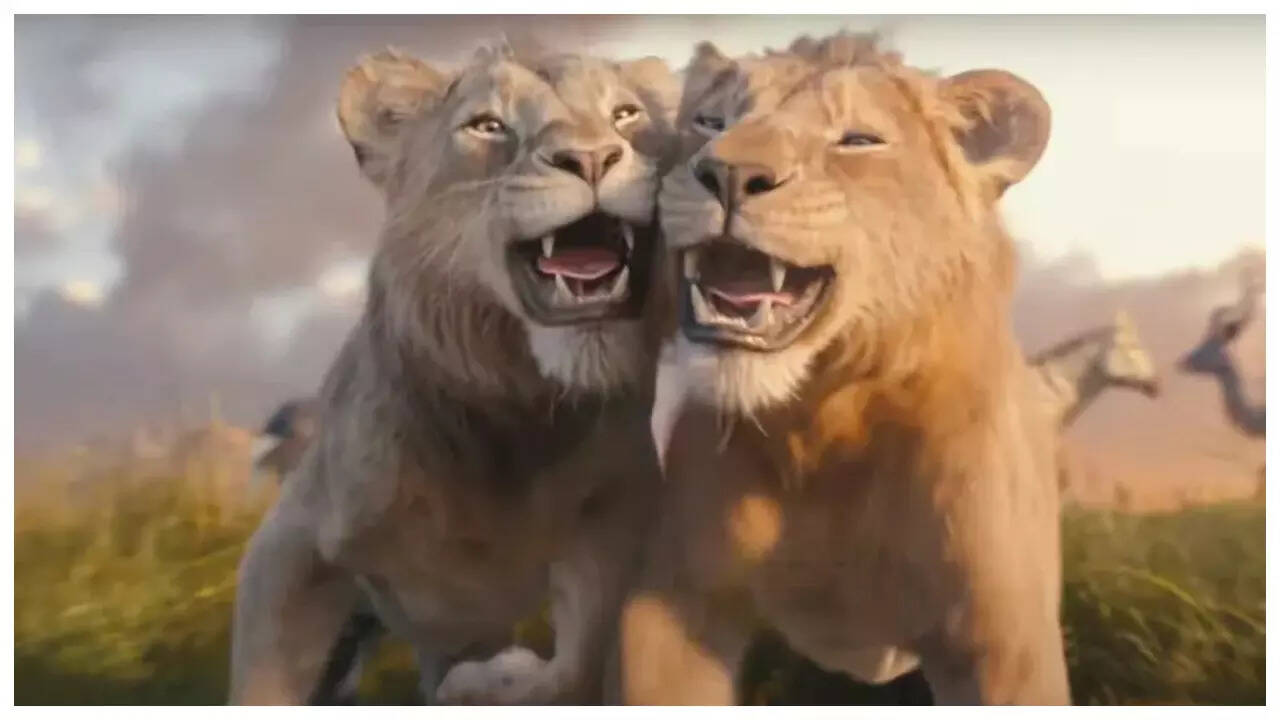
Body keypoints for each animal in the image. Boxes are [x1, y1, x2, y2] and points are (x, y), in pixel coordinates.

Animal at [229, 43, 678, 705]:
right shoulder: (291, 543)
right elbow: (260, 684)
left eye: (625, 114)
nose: (593, 158)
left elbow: (581, 661)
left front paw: (495, 682)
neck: (514, 410)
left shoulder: (615, 513)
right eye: (488, 125)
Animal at [621, 34, 1070, 705]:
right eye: (710, 122)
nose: (727, 173)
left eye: (857, 140)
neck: (823, 423)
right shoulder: (672, 603)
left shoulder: (1003, 644)